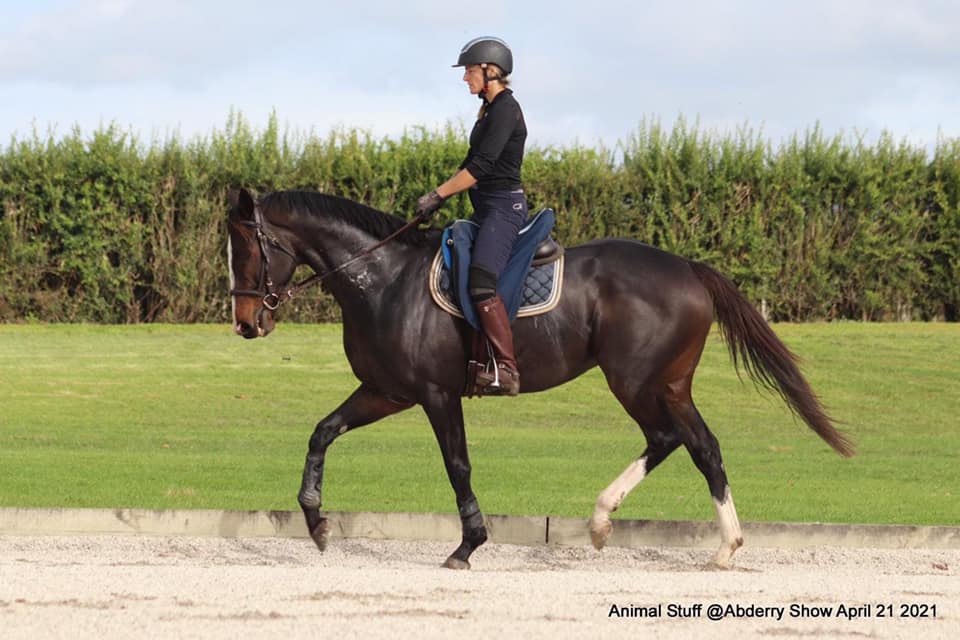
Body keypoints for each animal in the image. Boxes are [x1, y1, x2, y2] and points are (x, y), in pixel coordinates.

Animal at [227, 186, 856, 568]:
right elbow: (322, 432)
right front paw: (315, 522)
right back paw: (693, 540)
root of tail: (687, 268)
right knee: (697, 445)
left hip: (636, 381)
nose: (246, 323)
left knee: (675, 439)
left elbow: (457, 465)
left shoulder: (435, 394)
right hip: (668, 384)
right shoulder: (387, 391)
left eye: (247, 247)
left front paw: (468, 545)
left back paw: (633, 527)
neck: (383, 279)